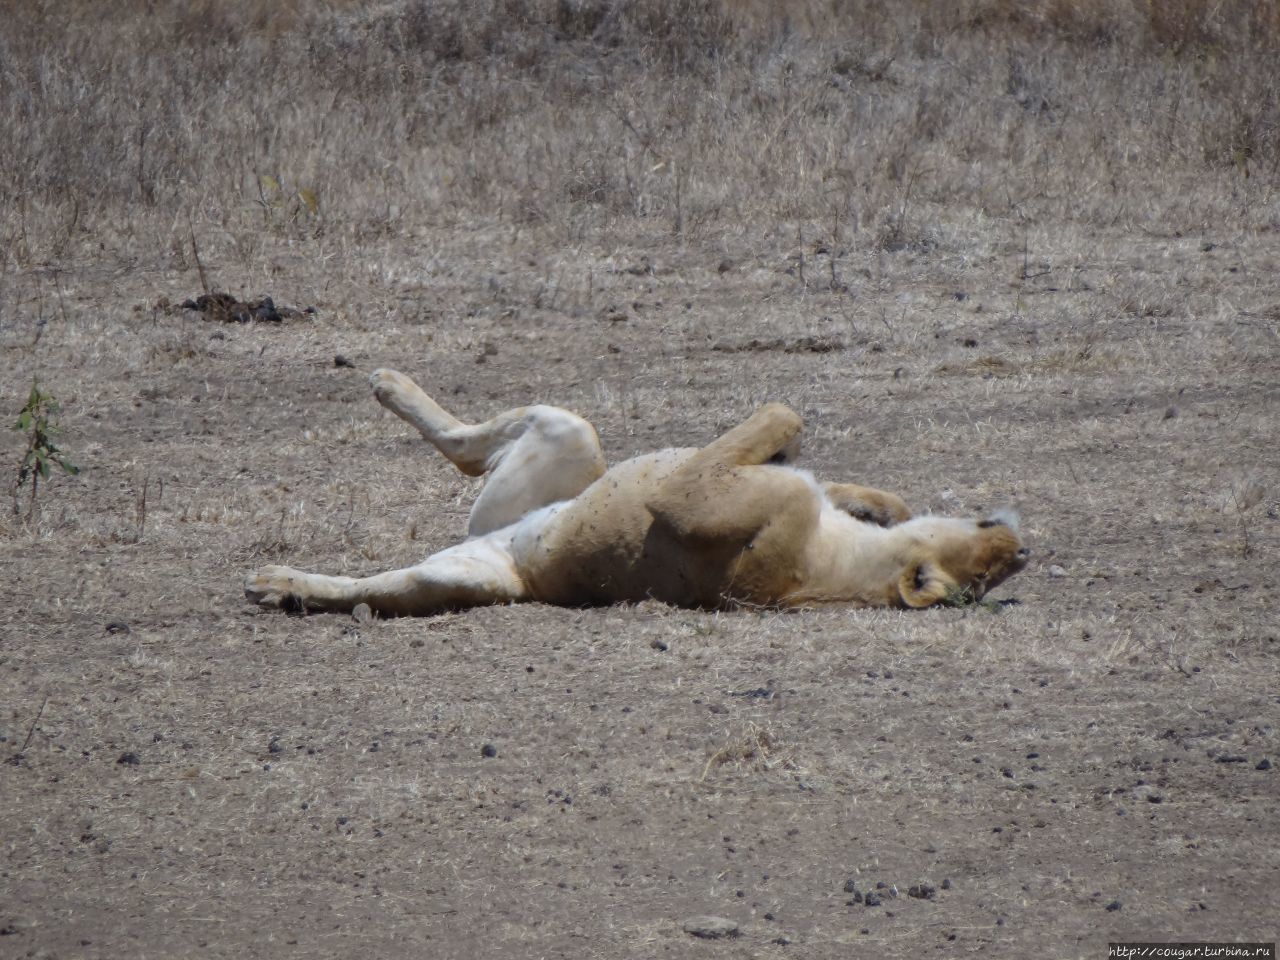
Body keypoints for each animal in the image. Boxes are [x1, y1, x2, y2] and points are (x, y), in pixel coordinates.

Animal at [247, 368, 1029, 616]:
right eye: (987, 570)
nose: (1021, 549)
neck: (843, 566)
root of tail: (498, 544)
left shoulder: (699, 496)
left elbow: (782, 413)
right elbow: (802, 445)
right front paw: (879, 501)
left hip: (476, 567)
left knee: (386, 573)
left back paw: (278, 584)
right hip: (573, 444)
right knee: (471, 448)